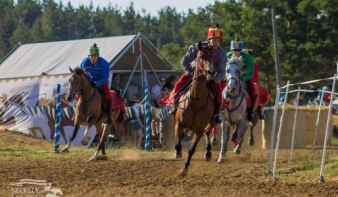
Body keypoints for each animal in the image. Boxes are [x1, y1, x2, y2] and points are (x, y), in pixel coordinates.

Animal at [174, 41, 217, 175]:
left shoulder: (199, 131)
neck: (196, 101)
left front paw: (185, 168)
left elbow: (191, 150)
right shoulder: (179, 123)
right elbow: (178, 142)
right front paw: (178, 152)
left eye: (212, 57)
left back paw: (208, 153)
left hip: (213, 122)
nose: (211, 72)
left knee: (208, 131)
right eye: (200, 56)